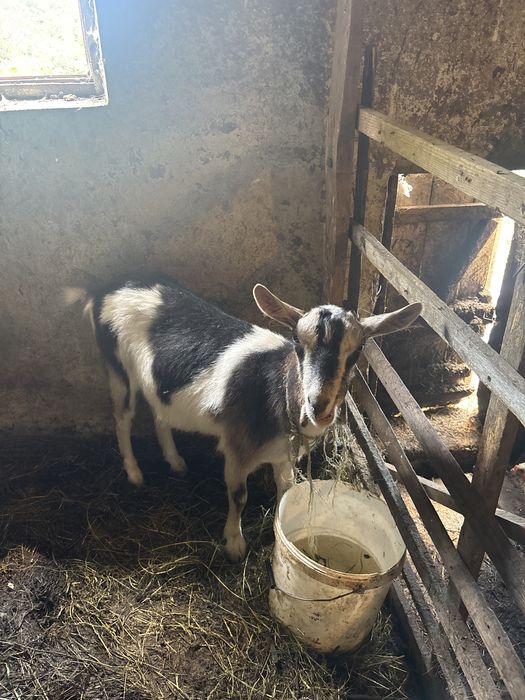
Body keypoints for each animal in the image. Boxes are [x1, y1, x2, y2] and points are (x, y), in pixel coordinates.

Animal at [67, 278, 421, 562]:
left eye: (357, 350)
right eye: (297, 342)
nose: (318, 406)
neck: (277, 389)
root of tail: (105, 290)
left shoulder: (283, 457)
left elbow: (287, 489)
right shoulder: (237, 448)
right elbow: (239, 495)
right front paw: (235, 544)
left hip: (156, 383)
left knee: (160, 414)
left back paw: (176, 462)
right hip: (117, 368)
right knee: (122, 418)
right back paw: (135, 473)